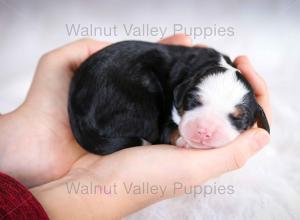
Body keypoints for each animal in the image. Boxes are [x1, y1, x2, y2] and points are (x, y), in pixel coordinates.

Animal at [68, 40, 270, 155]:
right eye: (194, 101)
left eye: (238, 118)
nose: (204, 131)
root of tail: (79, 115)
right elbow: (169, 131)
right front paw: (183, 140)